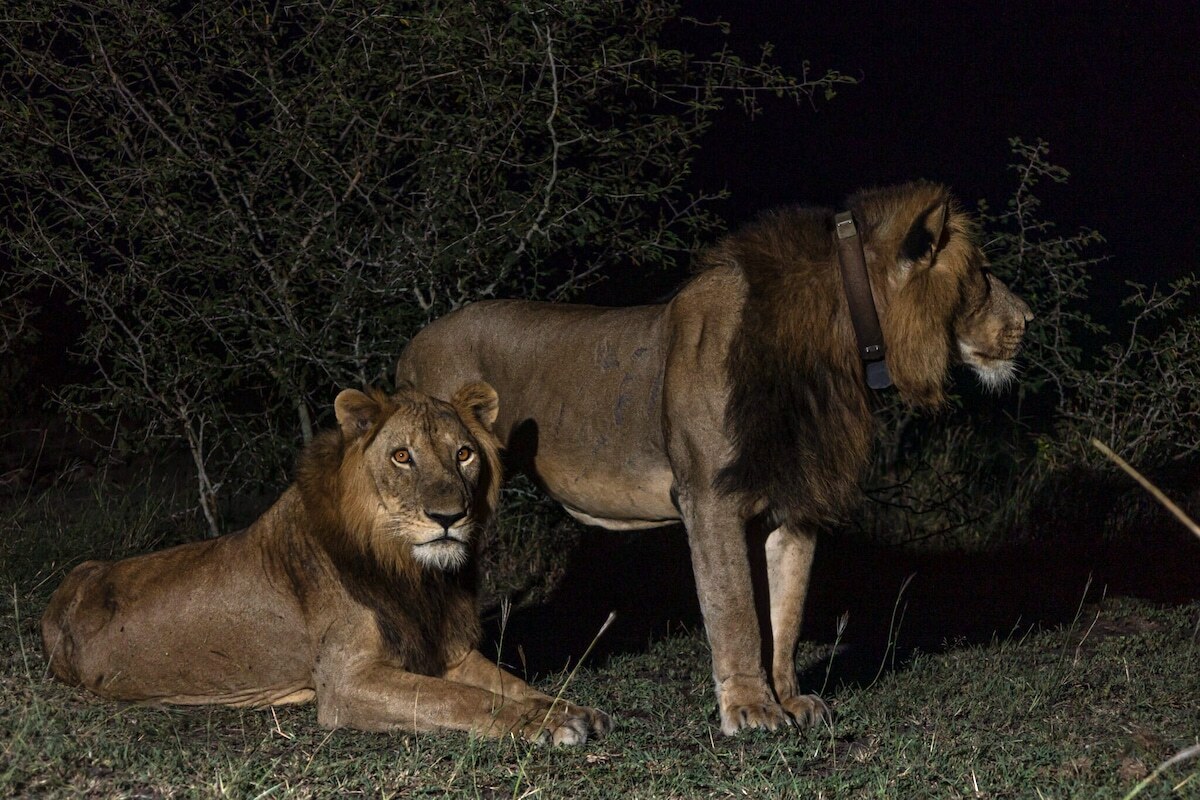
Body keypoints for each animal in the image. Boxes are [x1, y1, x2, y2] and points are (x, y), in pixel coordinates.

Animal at [42, 383, 609, 748]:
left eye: (464, 454)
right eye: (402, 456)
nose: (449, 517)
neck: (413, 573)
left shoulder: (444, 650)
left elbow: (508, 683)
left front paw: (566, 709)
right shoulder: (345, 682)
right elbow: (460, 700)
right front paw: (544, 725)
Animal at [396, 183, 1032, 738]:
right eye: (982, 274)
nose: (1028, 320)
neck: (836, 348)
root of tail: (413, 343)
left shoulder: (795, 501)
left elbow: (785, 614)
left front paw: (789, 700)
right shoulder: (709, 497)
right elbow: (737, 612)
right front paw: (750, 710)